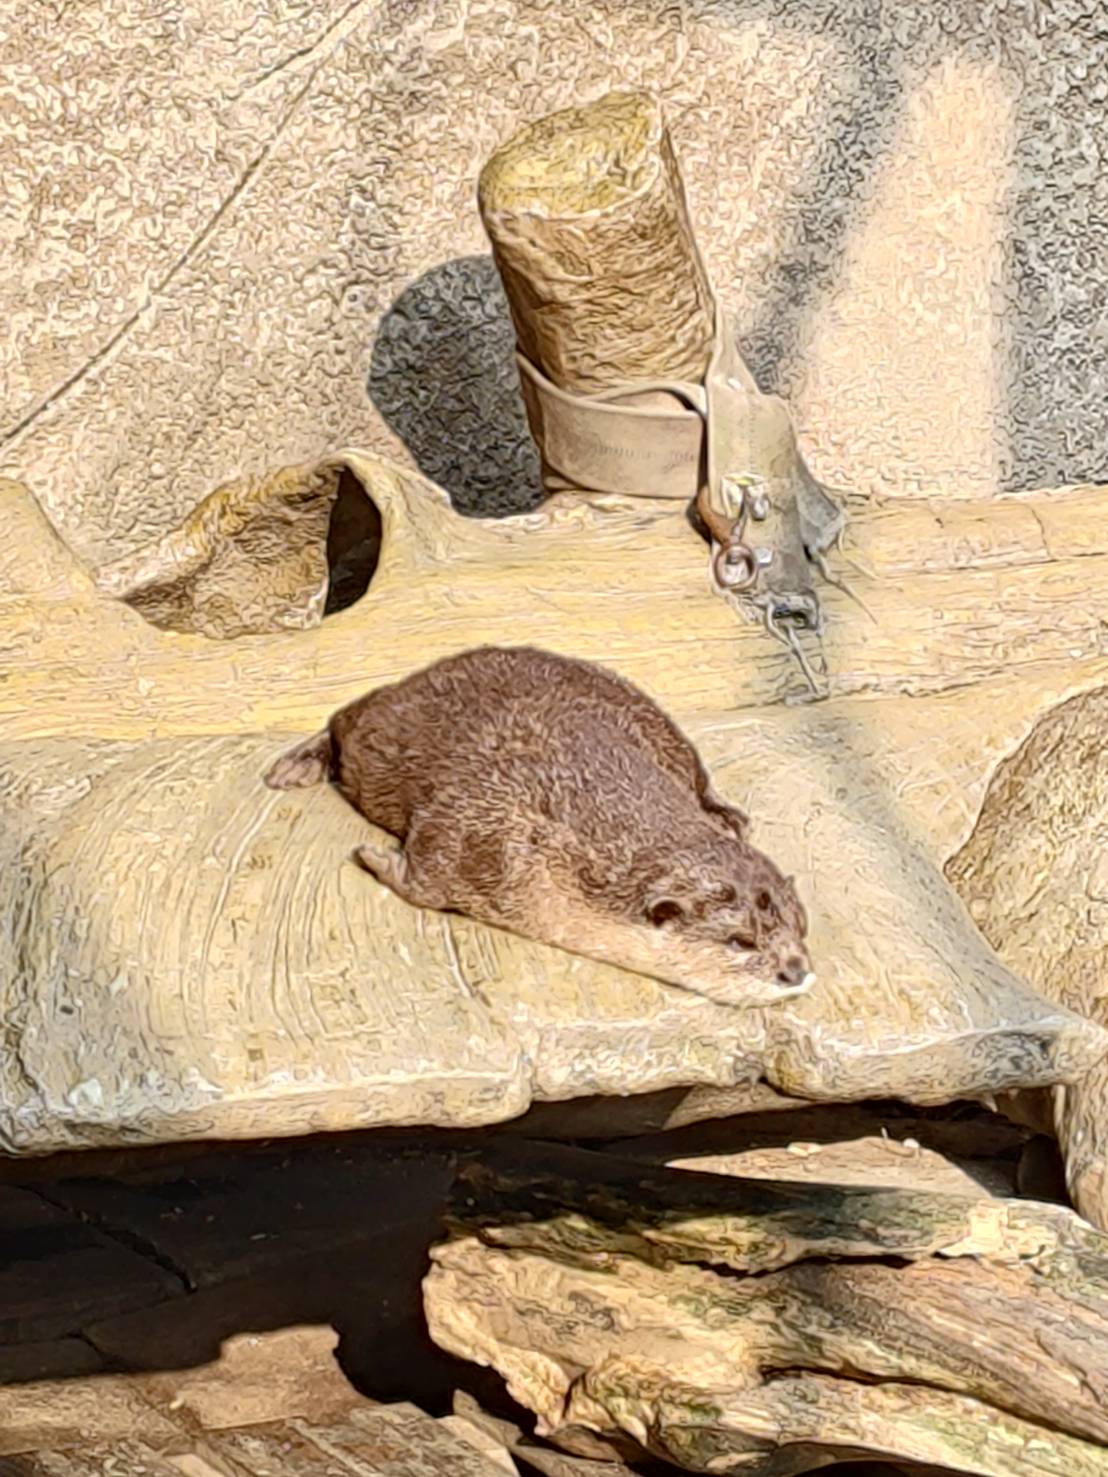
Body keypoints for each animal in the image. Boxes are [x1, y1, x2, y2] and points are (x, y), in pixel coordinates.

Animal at [264, 646, 813, 1009]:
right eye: (740, 942)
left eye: (800, 926)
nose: (796, 971)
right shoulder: (479, 829)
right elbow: (425, 881)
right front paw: (373, 858)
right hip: (380, 737)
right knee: (345, 718)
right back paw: (294, 764)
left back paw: (725, 813)